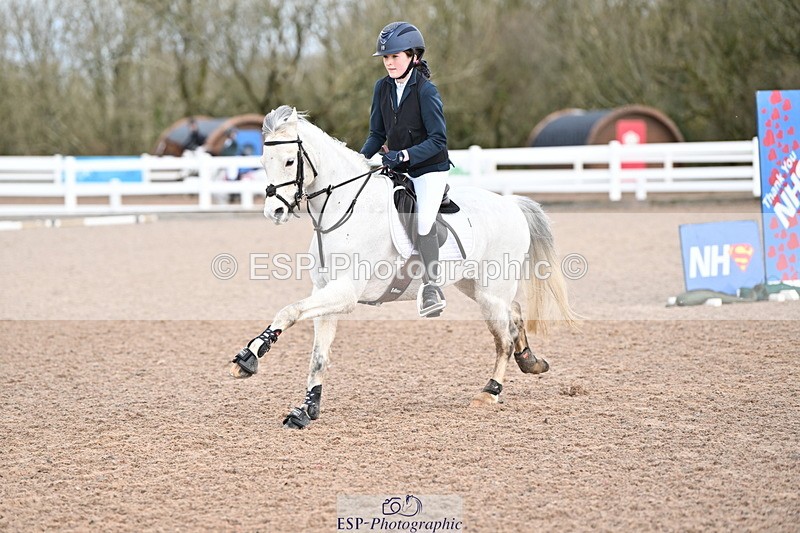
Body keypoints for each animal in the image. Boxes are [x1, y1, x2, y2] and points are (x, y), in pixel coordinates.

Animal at [228, 105, 576, 429]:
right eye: (263, 162)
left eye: (289, 161)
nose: (274, 211)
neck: (344, 209)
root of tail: (511, 203)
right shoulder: (325, 292)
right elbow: (318, 355)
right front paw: (305, 409)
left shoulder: (345, 293)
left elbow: (288, 311)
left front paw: (248, 358)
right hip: (474, 285)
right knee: (514, 314)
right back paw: (530, 361)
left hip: (492, 289)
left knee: (503, 338)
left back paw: (490, 391)